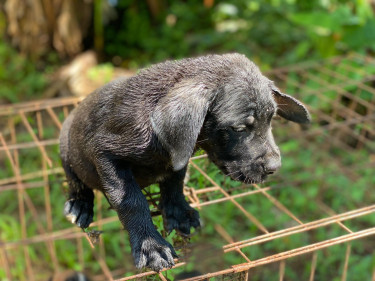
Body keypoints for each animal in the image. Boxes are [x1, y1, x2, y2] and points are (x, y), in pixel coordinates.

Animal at [59, 53, 312, 272]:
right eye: (239, 128)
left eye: (271, 119)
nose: (274, 168)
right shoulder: (106, 153)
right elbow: (131, 200)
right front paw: (151, 245)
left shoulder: (179, 158)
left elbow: (174, 183)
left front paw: (179, 213)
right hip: (66, 148)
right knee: (75, 181)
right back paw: (79, 206)